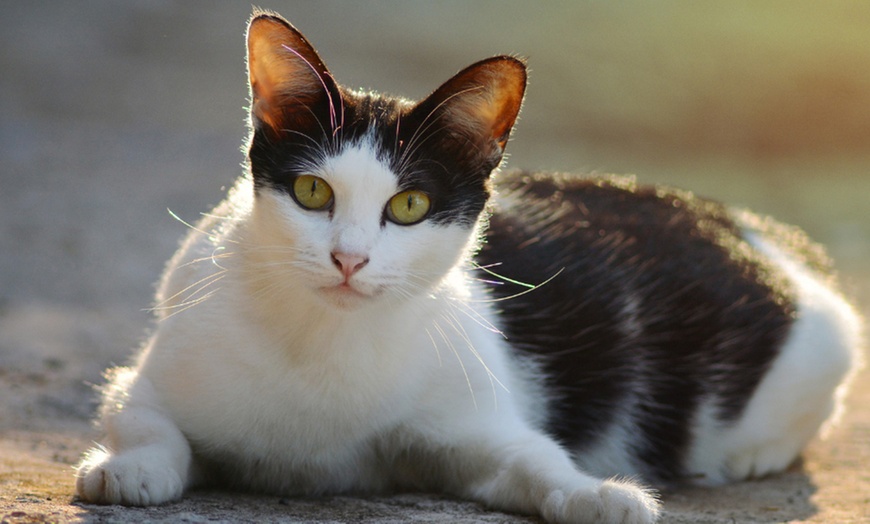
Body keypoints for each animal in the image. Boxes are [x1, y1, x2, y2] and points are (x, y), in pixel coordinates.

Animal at [76, 9, 864, 524]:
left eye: (410, 205)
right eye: (312, 193)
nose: (349, 258)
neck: (324, 351)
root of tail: (761, 230)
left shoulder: (478, 427)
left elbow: (534, 461)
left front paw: (596, 493)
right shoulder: (142, 379)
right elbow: (148, 422)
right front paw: (129, 467)